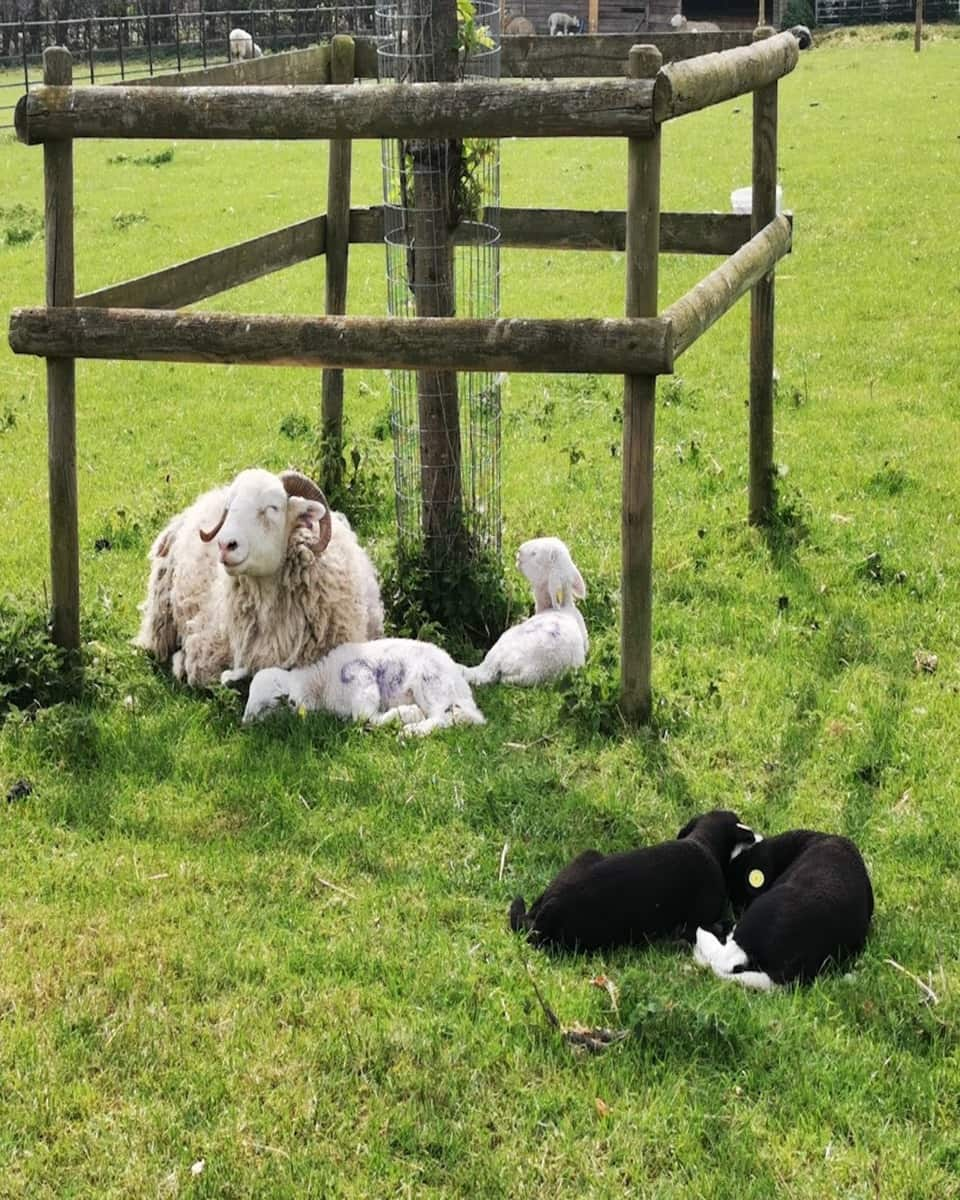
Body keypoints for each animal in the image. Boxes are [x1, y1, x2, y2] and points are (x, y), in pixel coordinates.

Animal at [136, 465, 384, 691]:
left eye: (272, 508)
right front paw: (182, 663)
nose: (225, 545)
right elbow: (203, 673)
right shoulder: (205, 648)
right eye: (229, 508)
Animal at [243, 633, 487, 734]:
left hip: (431, 682)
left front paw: (405, 714)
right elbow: (363, 718)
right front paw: (406, 713)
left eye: (269, 704)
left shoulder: (361, 677)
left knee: (441, 717)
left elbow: (365, 718)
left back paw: (412, 730)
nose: (245, 722)